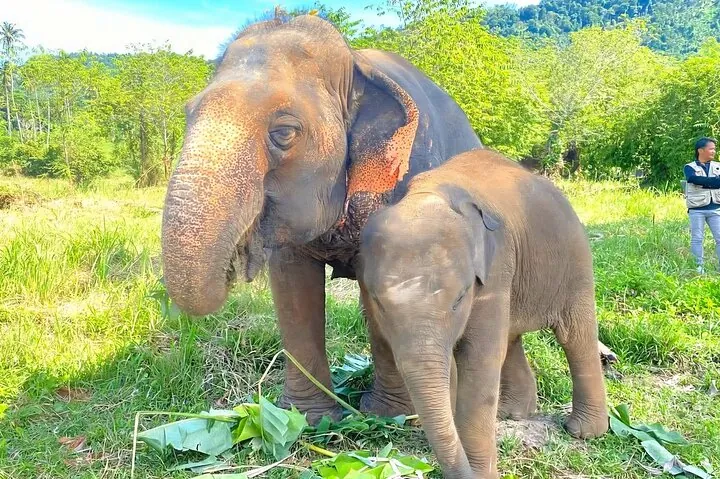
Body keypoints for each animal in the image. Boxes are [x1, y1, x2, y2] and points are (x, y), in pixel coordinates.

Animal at [160, 14, 483, 422]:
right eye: (188, 114)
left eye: (283, 132)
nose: (236, 263)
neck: (356, 63)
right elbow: (292, 286)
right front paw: (308, 418)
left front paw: (388, 417)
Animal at [358, 149, 609, 478]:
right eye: (380, 302)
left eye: (459, 299)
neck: (426, 196)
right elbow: (383, 342)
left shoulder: (496, 266)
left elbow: (479, 357)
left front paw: (479, 472)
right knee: (512, 338)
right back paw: (512, 413)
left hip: (575, 259)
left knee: (574, 336)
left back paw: (584, 432)